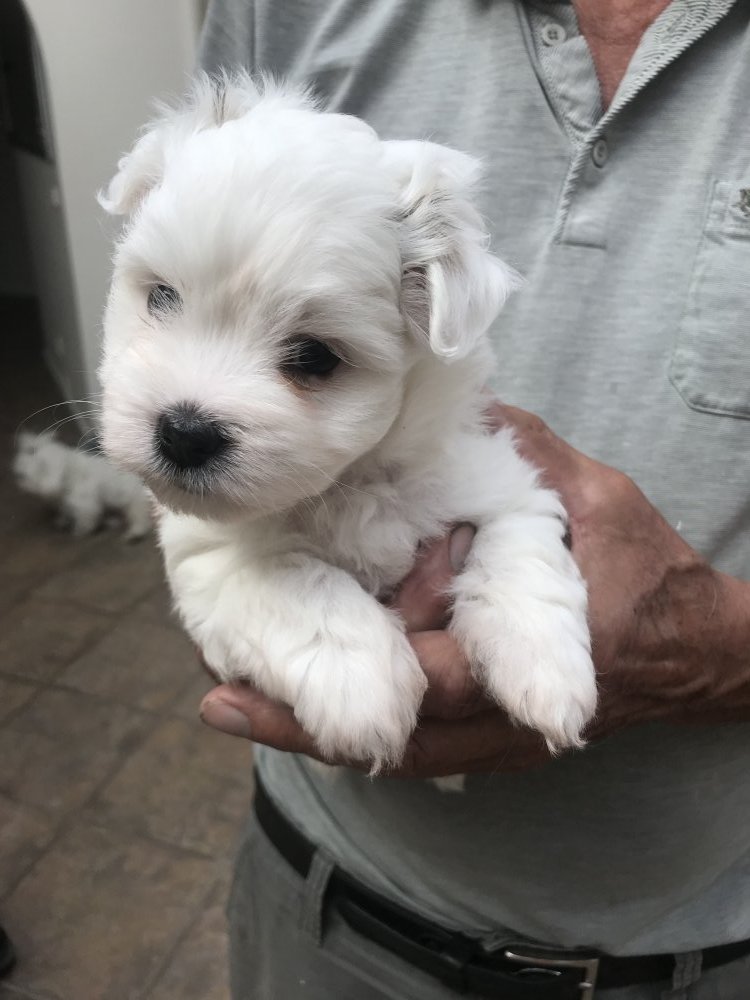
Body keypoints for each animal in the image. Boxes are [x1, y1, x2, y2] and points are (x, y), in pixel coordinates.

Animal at [13, 431, 151, 541]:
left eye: (41, 467)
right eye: (29, 451)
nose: (19, 475)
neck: (68, 475)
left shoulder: (85, 506)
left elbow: (84, 521)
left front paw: (78, 532)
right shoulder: (65, 502)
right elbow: (65, 512)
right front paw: (62, 521)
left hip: (134, 503)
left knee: (140, 518)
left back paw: (134, 533)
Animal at [98, 73, 596, 771]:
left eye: (314, 357)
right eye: (162, 297)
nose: (184, 434)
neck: (352, 481)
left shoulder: (503, 481)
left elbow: (522, 551)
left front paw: (547, 671)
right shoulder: (208, 555)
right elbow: (291, 579)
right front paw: (361, 682)